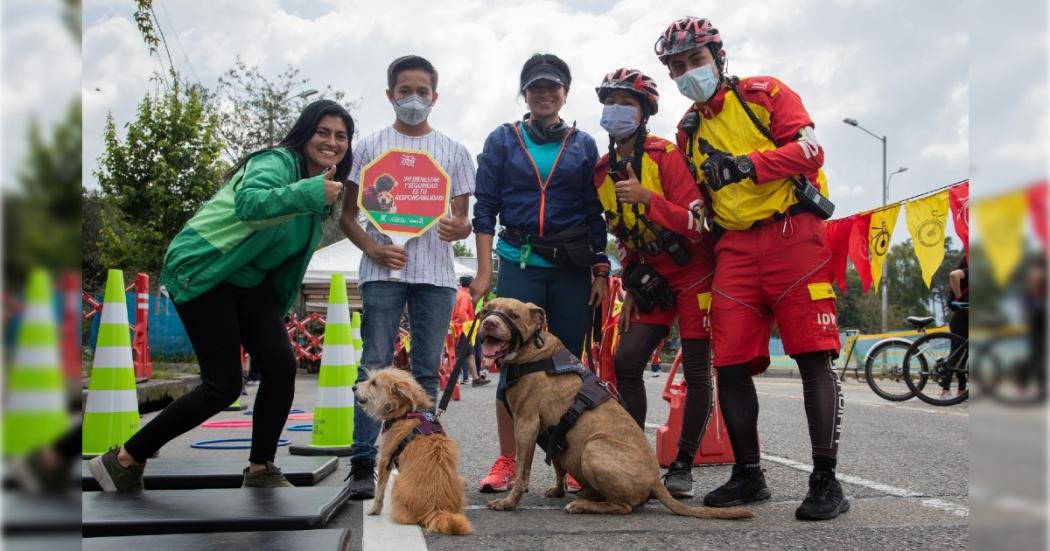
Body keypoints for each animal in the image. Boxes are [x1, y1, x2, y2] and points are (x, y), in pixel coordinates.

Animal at [352, 367, 472, 535]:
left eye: (374, 383)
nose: (353, 387)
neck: (405, 413)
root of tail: (437, 508)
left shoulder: (385, 460)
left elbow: (380, 490)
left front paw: (374, 509)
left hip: (397, 483)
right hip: (460, 481)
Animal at [476, 295, 755, 520]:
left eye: (513, 315)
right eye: (486, 310)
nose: (489, 323)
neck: (532, 350)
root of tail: (655, 482)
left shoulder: (527, 425)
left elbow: (522, 471)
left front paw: (509, 502)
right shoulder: (550, 435)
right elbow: (557, 464)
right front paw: (558, 489)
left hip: (595, 447)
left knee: (623, 507)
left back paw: (583, 505)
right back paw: (587, 496)